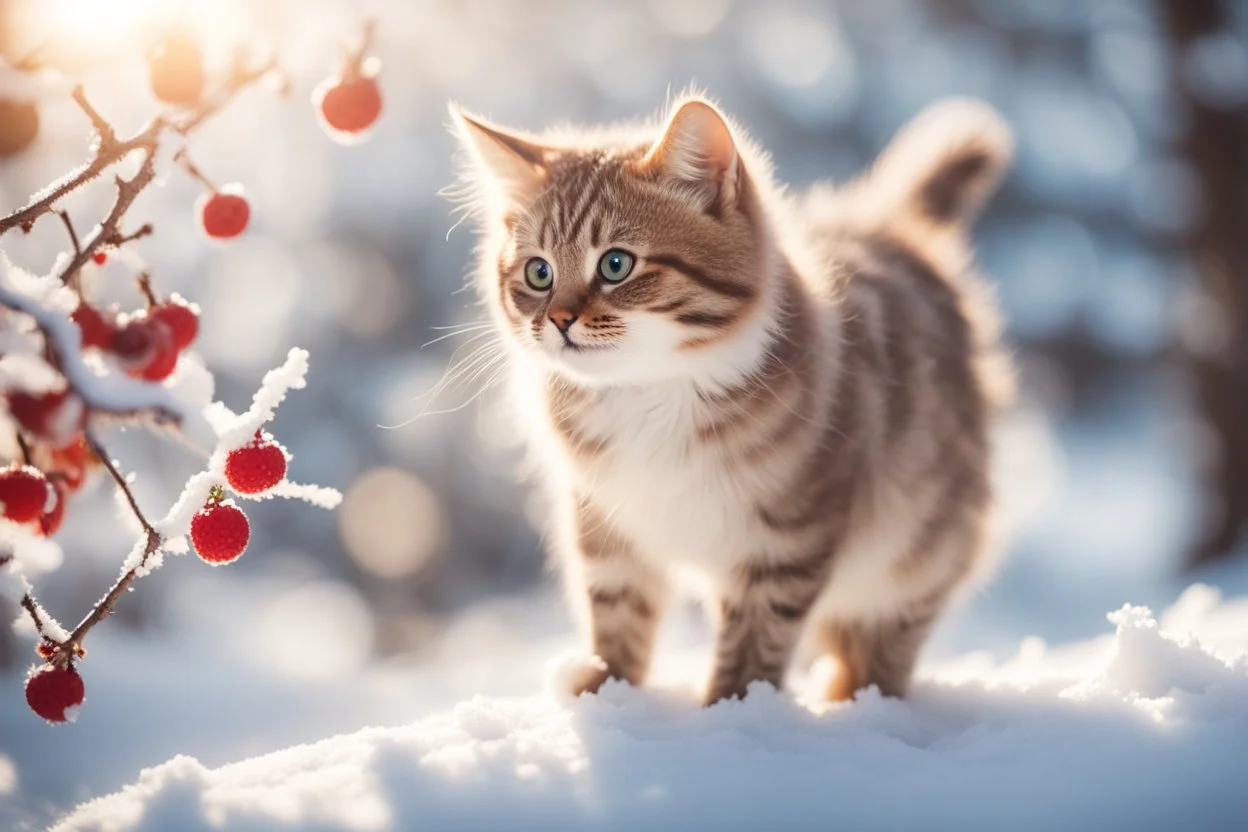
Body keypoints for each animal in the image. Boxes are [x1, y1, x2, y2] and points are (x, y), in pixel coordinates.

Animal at [449, 94, 1013, 708]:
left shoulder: (790, 534)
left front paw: (731, 709)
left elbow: (756, 637)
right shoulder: (604, 523)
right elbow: (617, 613)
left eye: (616, 264)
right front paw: (608, 689)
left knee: (885, 635)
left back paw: (857, 696)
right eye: (539, 272)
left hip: (917, 542)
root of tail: (889, 230)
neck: (649, 396)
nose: (557, 320)